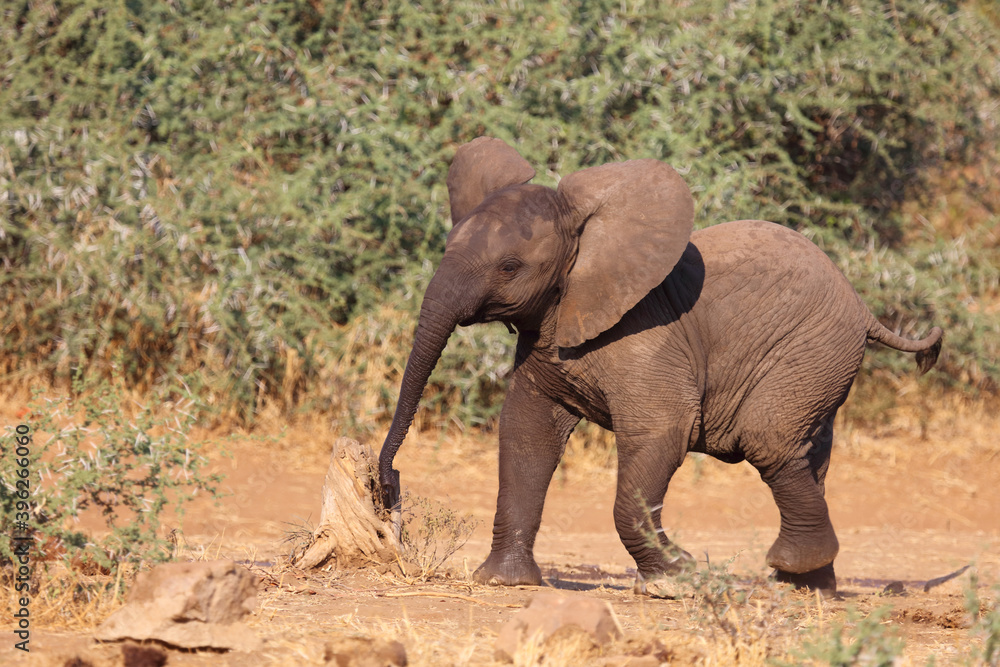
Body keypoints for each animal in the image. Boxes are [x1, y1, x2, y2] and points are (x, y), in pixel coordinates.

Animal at [378, 136, 940, 596]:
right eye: (446, 247)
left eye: (510, 267)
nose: (387, 493)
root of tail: (864, 306)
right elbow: (525, 434)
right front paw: (503, 582)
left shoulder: (648, 337)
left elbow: (660, 432)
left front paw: (677, 578)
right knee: (810, 454)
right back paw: (809, 587)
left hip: (810, 348)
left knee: (770, 441)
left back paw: (792, 571)